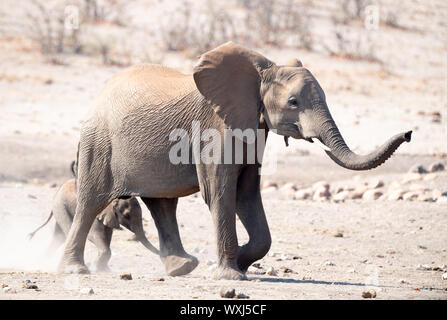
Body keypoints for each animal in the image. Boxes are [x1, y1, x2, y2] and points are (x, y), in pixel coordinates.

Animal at [28, 179, 159, 272]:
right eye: (127, 215)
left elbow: (107, 235)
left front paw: (104, 269)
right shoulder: (98, 212)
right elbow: (95, 235)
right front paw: (96, 267)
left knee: (59, 237)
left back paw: (41, 261)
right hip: (61, 206)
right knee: (66, 232)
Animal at [60, 42, 412, 280]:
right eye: (293, 102)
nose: (409, 133)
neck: (261, 70)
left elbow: (247, 192)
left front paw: (241, 260)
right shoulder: (213, 128)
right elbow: (220, 190)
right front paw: (231, 275)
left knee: (162, 204)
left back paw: (183, 267)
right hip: (98, 143)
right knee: (91, 201)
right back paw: (75, 270)